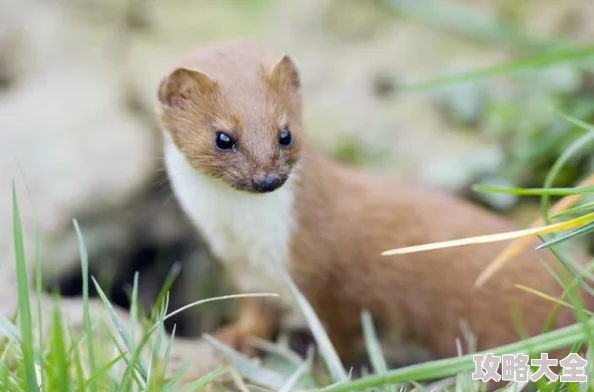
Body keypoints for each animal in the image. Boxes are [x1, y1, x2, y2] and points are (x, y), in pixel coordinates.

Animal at [155, 39, 588, 370]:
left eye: (285, 133)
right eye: (223, 137)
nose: (267, 179)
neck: (251, 242)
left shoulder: (334, 281)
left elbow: (340, 335)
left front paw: (317, 366)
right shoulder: (243, 270)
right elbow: (256, 310)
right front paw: (238, 337)